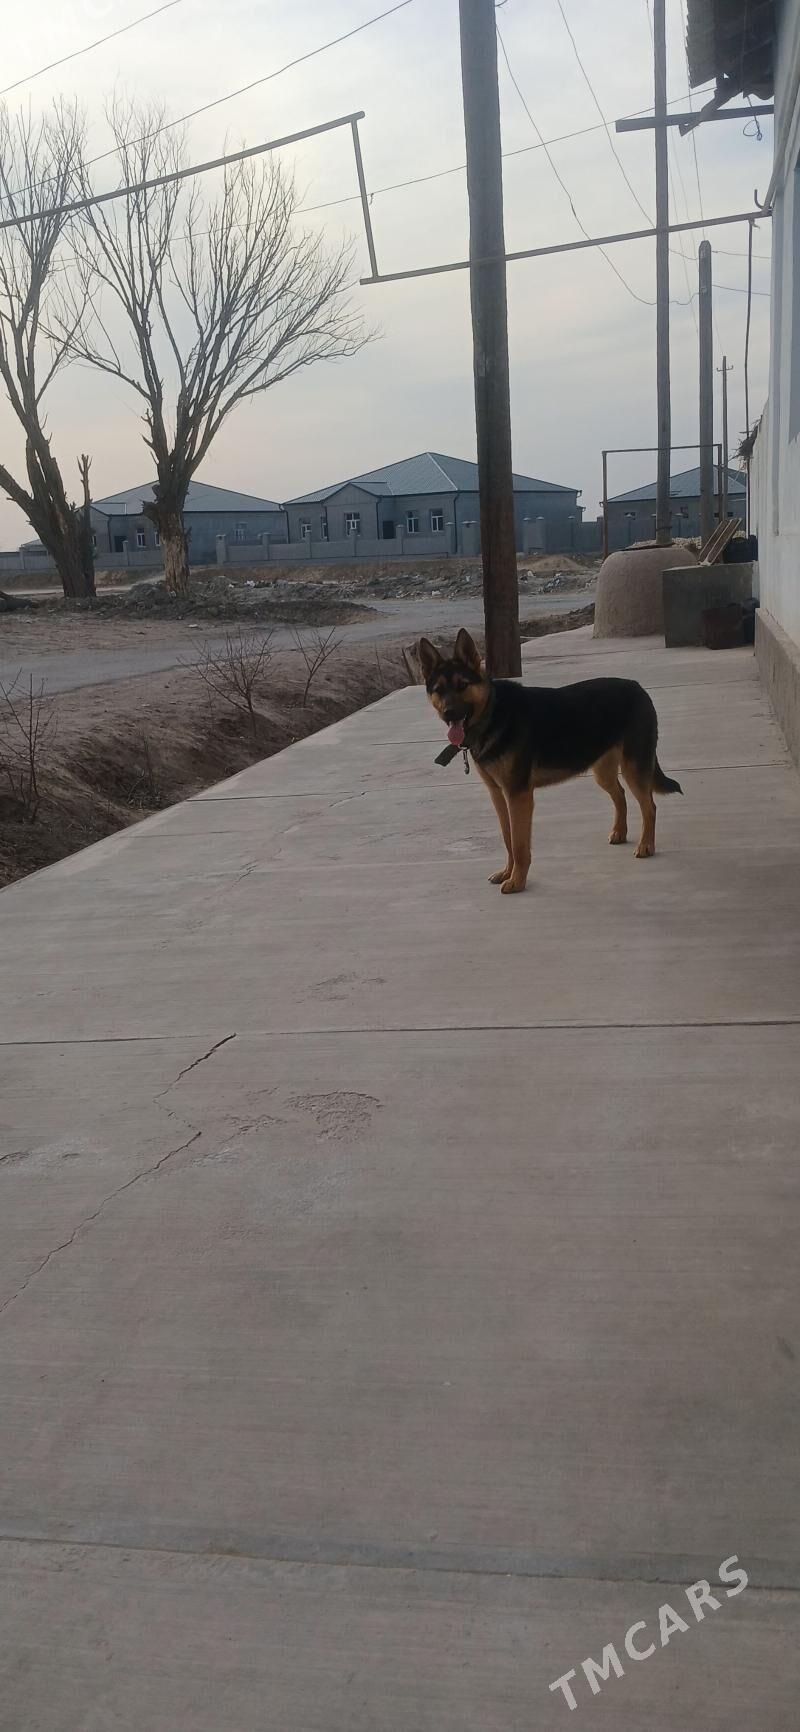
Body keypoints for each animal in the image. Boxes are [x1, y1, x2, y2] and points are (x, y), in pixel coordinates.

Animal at [418, 628, 682, 893]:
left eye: (462, 685)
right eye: (439, 690)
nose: (449, 713)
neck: (492, 713)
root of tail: (638, 687)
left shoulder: (518, 795)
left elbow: (519, 844)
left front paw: (517, 880)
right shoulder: (498, 794)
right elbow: (507, 838)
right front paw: (507, 872)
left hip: (633, 769)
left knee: (649, 806)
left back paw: (646, 845)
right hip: (604, 773)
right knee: (620, 795)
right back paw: (619, 832)